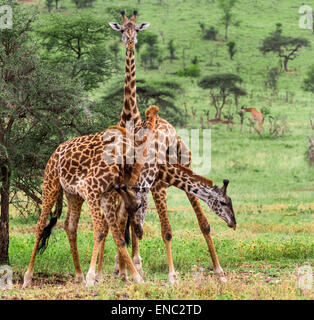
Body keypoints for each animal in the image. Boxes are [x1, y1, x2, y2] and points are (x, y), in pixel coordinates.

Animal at [22, 106, 159, 288]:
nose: (140, 232)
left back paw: (79, 275)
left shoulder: (105, 195)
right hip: (51, 184)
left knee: (70, 226)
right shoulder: (91, 190)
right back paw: (27, 278)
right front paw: (91, 277)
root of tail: (56, 151)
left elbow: (117, 236)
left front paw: (137, 278)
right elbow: (100, 230)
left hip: (73, 195)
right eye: (139, 207)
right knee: (40, 225)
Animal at [109, 11, 232, 284]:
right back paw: (125, 267)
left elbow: (187, 226)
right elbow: (147, 226)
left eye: (137, 29)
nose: (130, 41)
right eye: (121, 29)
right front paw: (144, 270)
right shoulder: (143, 185)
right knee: (131, 222)